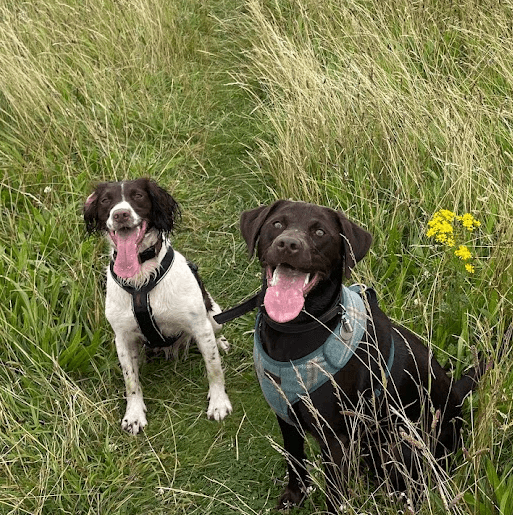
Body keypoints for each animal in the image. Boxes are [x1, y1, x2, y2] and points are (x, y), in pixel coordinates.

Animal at [84, 179, 232, 434]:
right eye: (105, 200)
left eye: (138, 196)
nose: (120, 214)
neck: (140, 280)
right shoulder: (122, 338)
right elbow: (131, 381)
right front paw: (134, 414)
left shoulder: (200, 326)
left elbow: (214, 368)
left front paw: (218, 402)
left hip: (214, 316)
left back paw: (222, 343)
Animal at [239, 200, 484, 512]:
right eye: (277, 224)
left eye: (320, 231)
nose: (288, 244)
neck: (294, 331)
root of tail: (456, 391)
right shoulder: (285, 416)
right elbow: (294, 459)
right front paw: (295, 496)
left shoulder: (335, 439)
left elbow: (334, 494)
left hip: (402, 444)